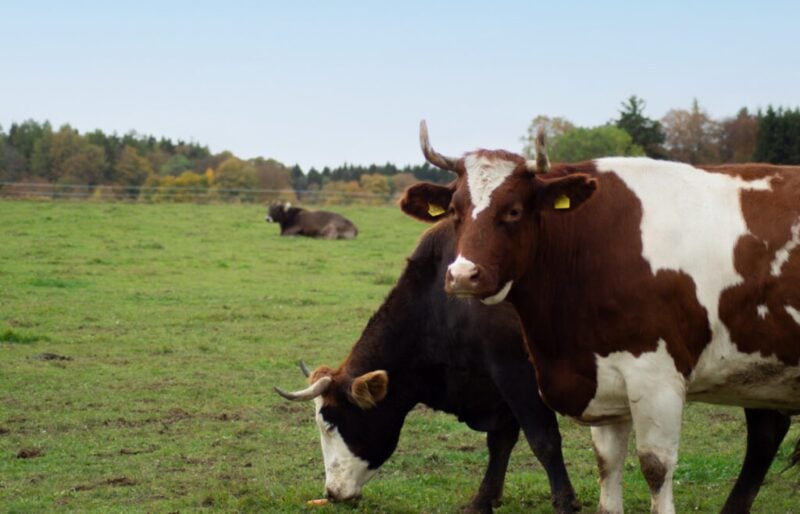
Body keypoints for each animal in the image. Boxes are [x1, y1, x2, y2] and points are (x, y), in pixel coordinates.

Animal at [275, 218, 580, 513]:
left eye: (329, 423)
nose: (332, 492)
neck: (444, 302)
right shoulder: (497, 386)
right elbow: (500, 443)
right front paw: (483, 500)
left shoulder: (517, 375)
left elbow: (544, 441)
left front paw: (565, 503)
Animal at [399, 120, 800, 514]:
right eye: (455, 211)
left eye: (513, 210)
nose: (462, 275)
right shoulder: (604, 383)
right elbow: (607, 469)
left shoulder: (658, 379)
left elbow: (655, 466)